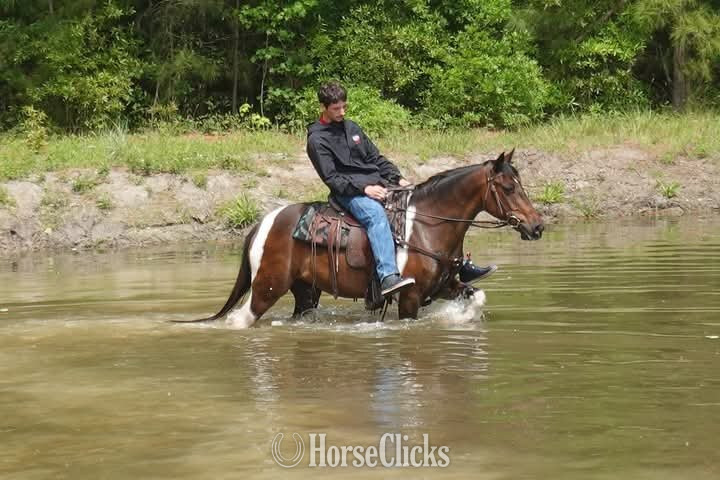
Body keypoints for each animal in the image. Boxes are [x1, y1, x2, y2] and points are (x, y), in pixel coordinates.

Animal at [178, 149, 543, 328]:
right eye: (508, 188)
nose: (537, 225)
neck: (428, 224)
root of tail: (263, 223)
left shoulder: (444, 286)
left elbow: (476, 296)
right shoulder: (409, 298)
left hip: (305, 293)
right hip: (267, 288)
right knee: (240, 319)